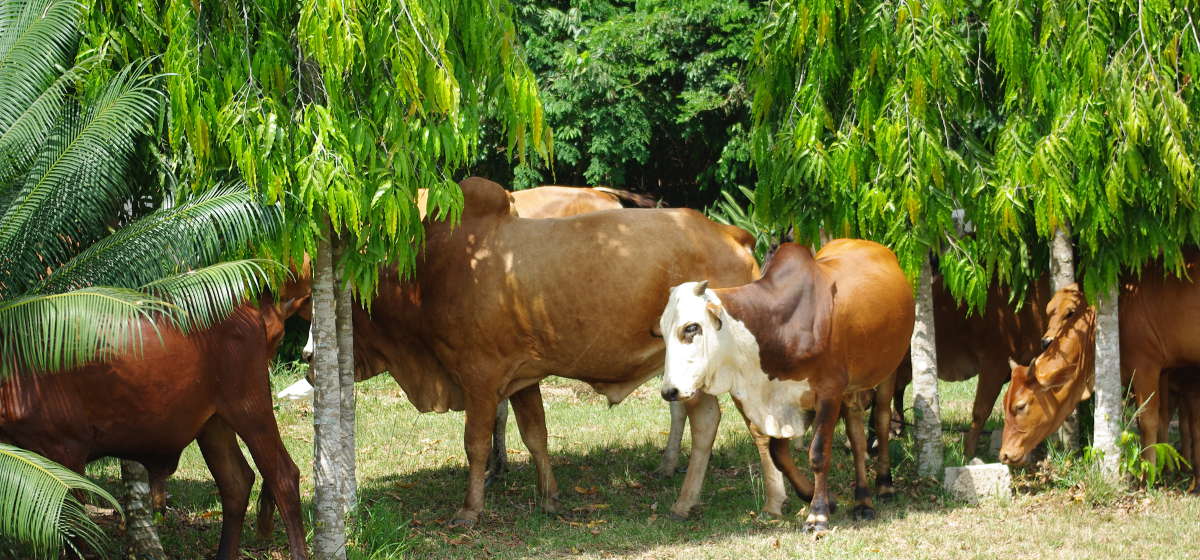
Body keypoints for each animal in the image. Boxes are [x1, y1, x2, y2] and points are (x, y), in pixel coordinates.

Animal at [0, 302, 309, 560]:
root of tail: (251, 311)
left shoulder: (66, 448)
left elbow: (74, 528)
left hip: (248, 406)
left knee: (283, 476)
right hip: (213, 423)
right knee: (236, 482)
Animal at [998, 256, 1200, 484]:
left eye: (1021, 406)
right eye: (1004, 405)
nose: (1004, 454)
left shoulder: (1146, 367)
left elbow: (1148, 421)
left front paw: (1148, 477)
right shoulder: (1164, 371)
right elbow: (1164, 417)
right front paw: (1165, 470)